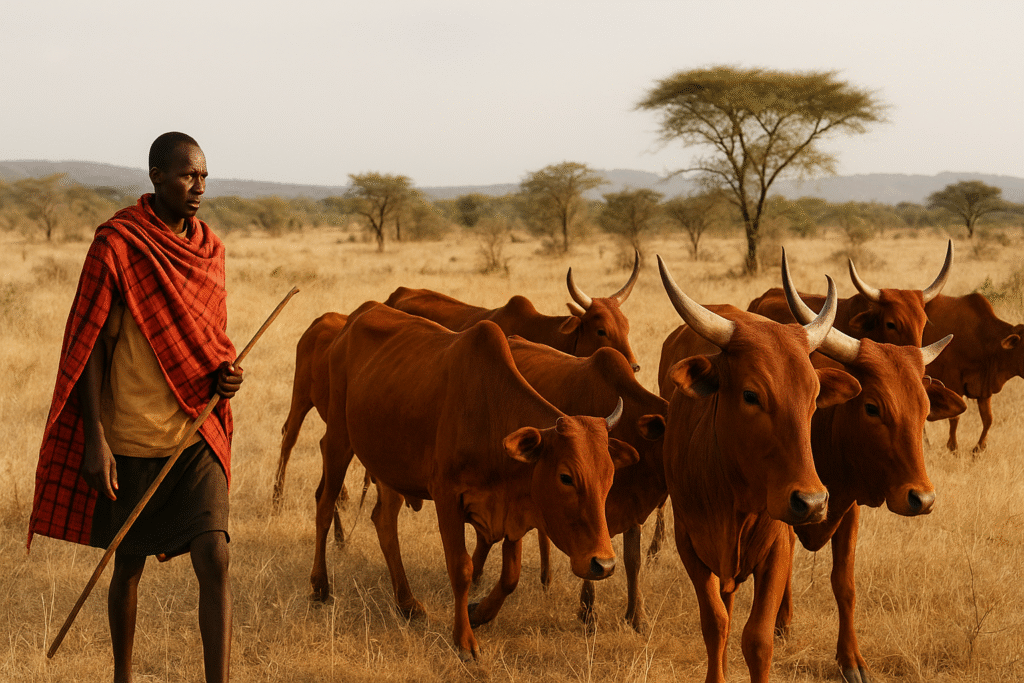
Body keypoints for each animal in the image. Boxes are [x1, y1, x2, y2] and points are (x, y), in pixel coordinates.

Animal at [306, 302, 639, 660]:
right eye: (566, 477)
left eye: (609, 477)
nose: (603, 564)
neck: (488, 414)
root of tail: (358, 315)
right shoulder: (447, 498)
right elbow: (462, 568)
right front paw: (464, 639)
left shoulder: (512, 509)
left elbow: (510, 576)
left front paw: (479, 613)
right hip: (339, 437)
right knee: (324, 506)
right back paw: (320, 586)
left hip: (387, 464)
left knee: (384, 521)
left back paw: (407, 603)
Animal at [656, 256, 861, 683]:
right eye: (751, 395)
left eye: (814, 396)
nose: (812, 502)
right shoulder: (689, 543)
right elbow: (715, 623)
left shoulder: (778, 546)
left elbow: (758, 638)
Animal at [771, 252, 966, 683]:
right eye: (873, 407)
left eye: (924, 408)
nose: (922, 499)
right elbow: (782, 565)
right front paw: (780, 625)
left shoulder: (850, 509)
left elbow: (844, 583)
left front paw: (851, 660)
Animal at [922, 292, 1024, 453]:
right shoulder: (953, 381)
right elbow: (955, 417)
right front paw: (953, 447)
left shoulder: (984, 389)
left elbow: (988, 419)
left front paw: (978, 448)